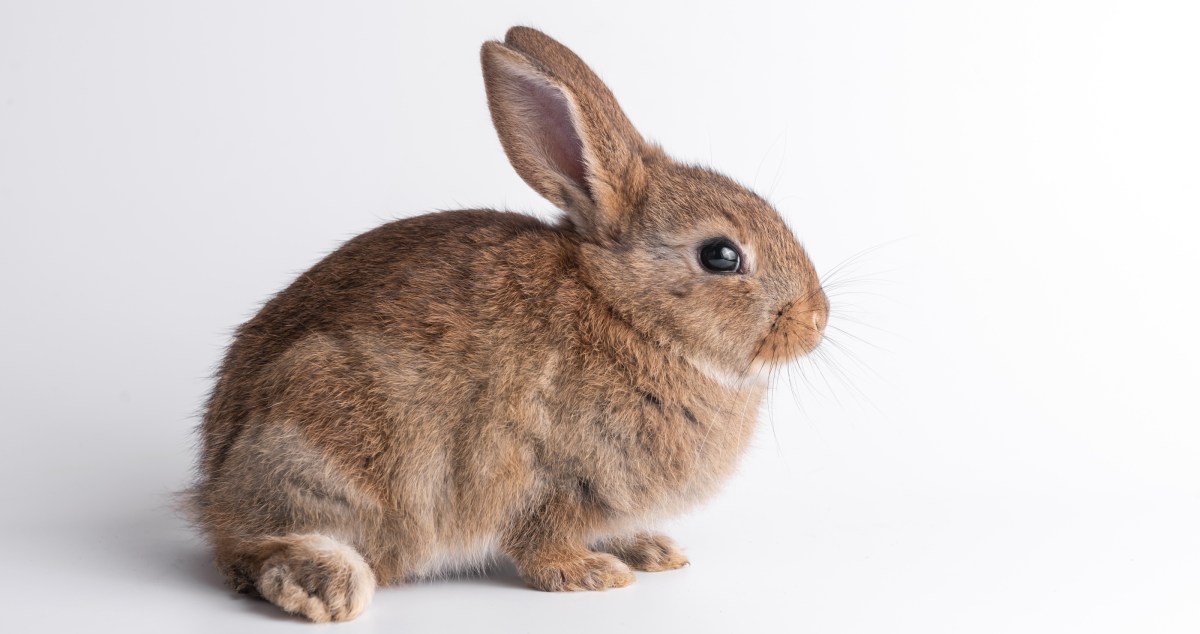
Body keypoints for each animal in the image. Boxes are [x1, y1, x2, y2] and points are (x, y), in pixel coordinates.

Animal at [189, 25, 829, 623]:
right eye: (721, 256)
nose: (816, 320)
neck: (627, 311)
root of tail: (212, 485)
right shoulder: (554, 476)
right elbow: (543, 539)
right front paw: (593, 575)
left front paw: (651, 551)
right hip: (325, 440)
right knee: (256, 548)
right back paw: (330, 585)